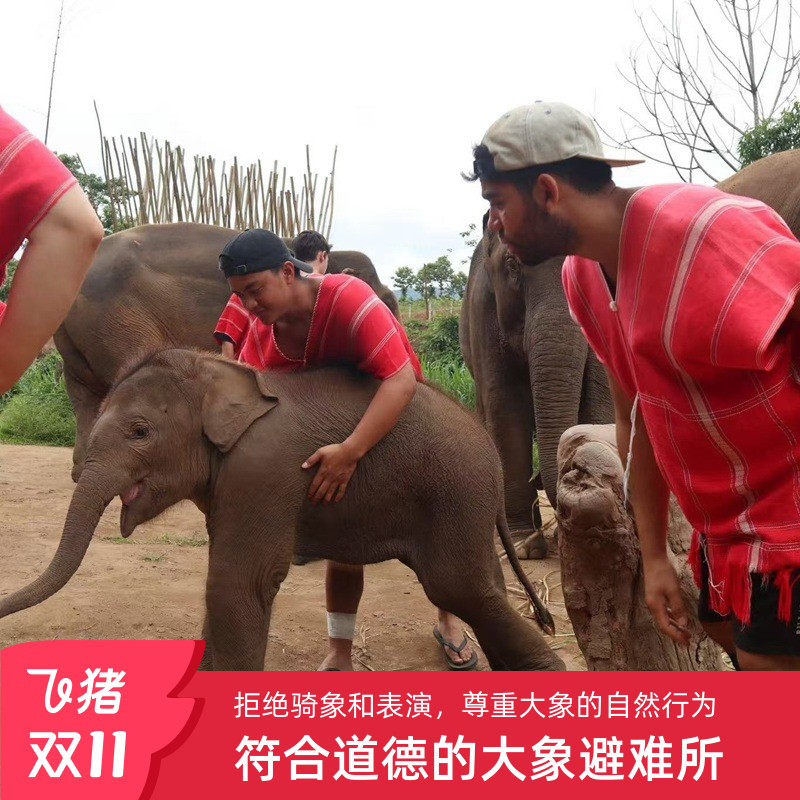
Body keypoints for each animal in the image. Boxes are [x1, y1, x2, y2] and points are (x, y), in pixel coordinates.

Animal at [0, 349, 564, 672]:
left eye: (140, 432)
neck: (219, 377)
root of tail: (484, 441)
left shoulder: (263, 469)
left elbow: (240, 582)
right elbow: (230, 582)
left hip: (455, 489)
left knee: (456, 585)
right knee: (481, 582)